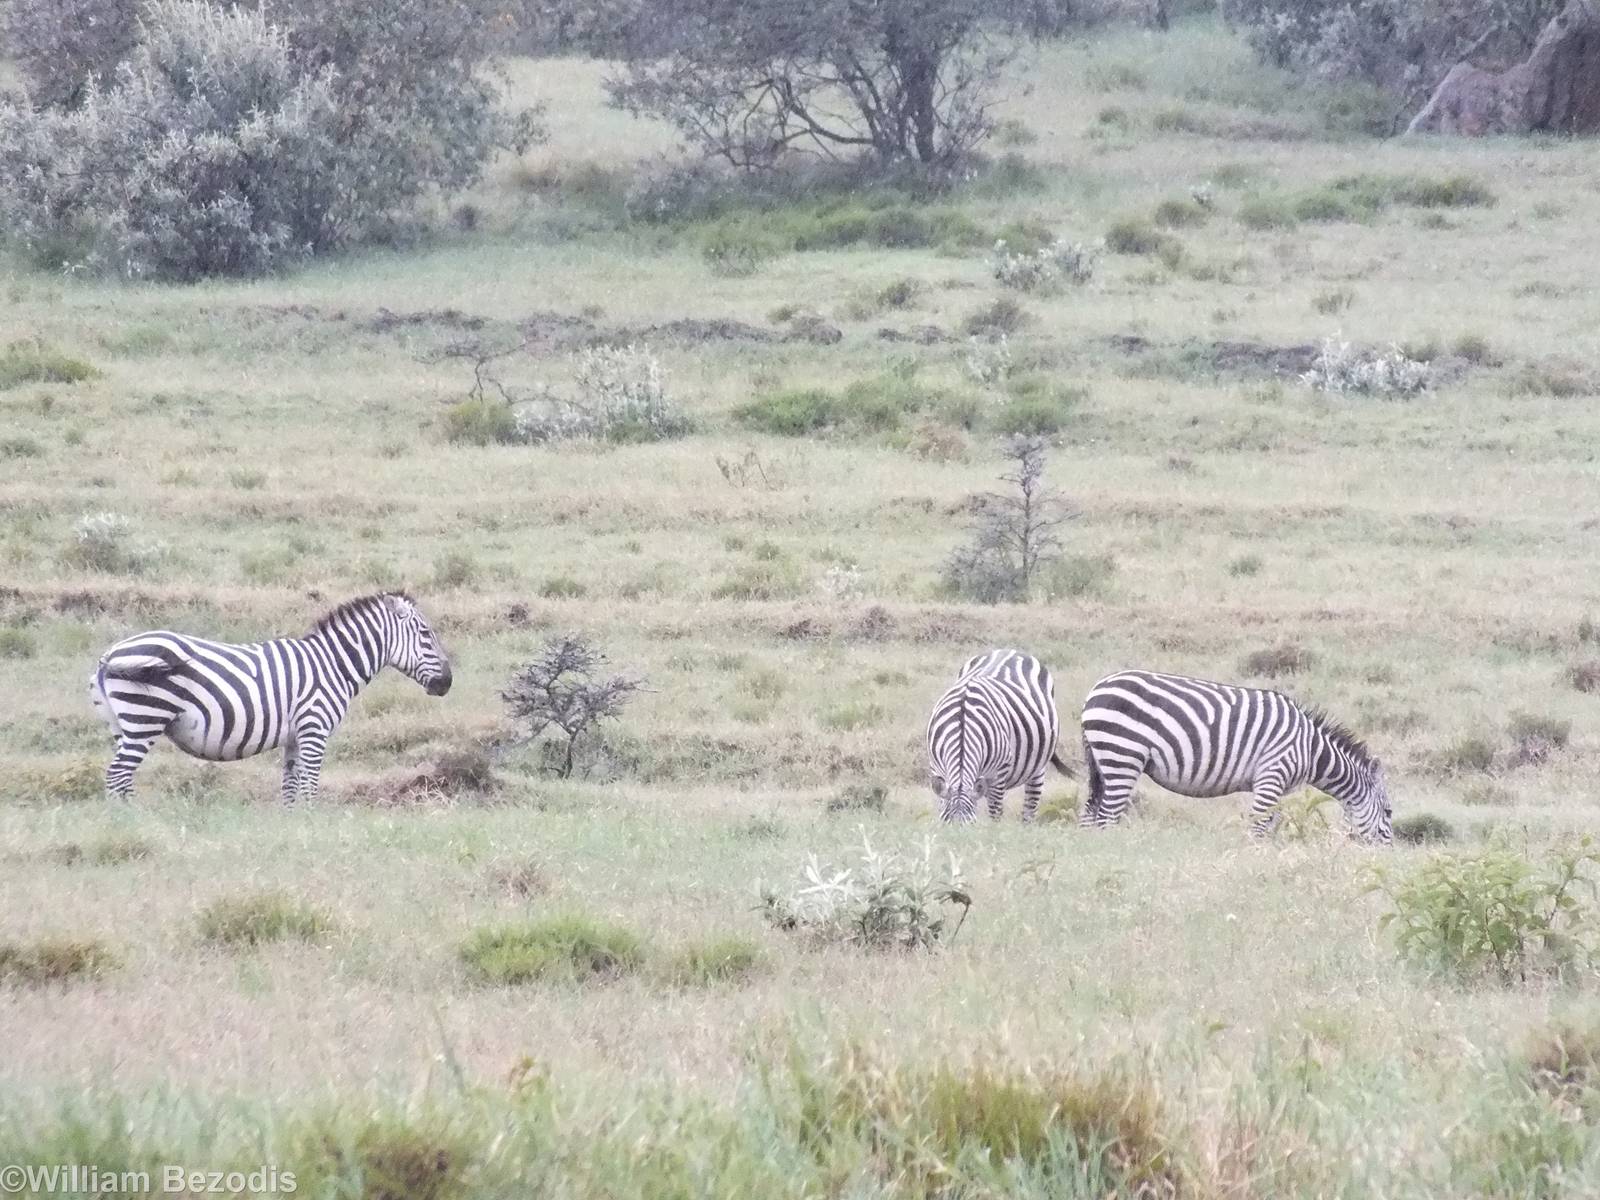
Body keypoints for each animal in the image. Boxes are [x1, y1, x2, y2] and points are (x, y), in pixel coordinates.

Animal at [89, 591, 451, 803]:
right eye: (426, 633)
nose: (447, 683)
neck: (333, 664)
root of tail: (108, 655)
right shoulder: (314, 729)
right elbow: (310, 785)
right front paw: (311, 823)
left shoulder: (294, 737)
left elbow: (290, 788)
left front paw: (293, 826)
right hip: (145, 717)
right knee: (118, 774)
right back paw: (131, 820)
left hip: (123, 724)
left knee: (120, 775)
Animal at [926, 649, 1071, 823]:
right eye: (946, 825)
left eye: (971, 825)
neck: (962, 725)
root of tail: (1010, 650)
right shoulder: (937, 768)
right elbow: (943, 803)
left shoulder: (999, 773)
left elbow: (995, 813)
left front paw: (993, 830)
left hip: (1039, 765)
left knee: (1030, 806)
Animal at [1078, 669, 1392, 843]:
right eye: (1389, 812)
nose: (1387, 855)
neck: (1310, 749)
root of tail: (1094, 691)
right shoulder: (1272, 774)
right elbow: (1259, 824)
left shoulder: (1274, 785)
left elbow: (1271, 823)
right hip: (1122, 755)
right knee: (1106, 816)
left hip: (1102, 761)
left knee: (1089, 813)